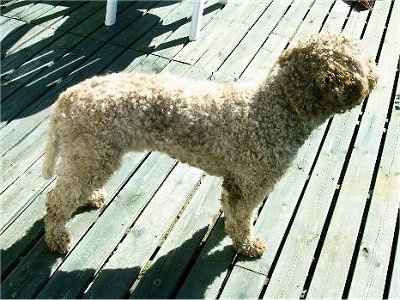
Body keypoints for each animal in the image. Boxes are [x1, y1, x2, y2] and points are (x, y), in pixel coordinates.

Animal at [41, 33, 378, 258]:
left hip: (92, 156)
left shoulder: (236, 181)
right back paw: (57, 238)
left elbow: (233, 210)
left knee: (73, 188)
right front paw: (247, 245)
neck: (281, 106)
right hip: (92, 154)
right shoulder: (251, 181)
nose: (376, 74)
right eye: (363, 59)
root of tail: (68, 96)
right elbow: (242, 217)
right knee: (56, 201)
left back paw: (91, 197)